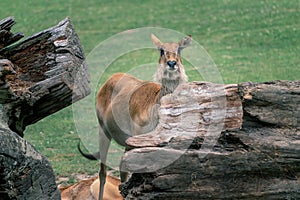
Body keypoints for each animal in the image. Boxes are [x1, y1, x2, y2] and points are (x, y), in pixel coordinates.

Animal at [78, 33, 191, 199]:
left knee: (122, 172)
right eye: (161, 50)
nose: (172, 63)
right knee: (103, 172)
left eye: (179, 49)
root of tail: (111, 79)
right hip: (103, 132)